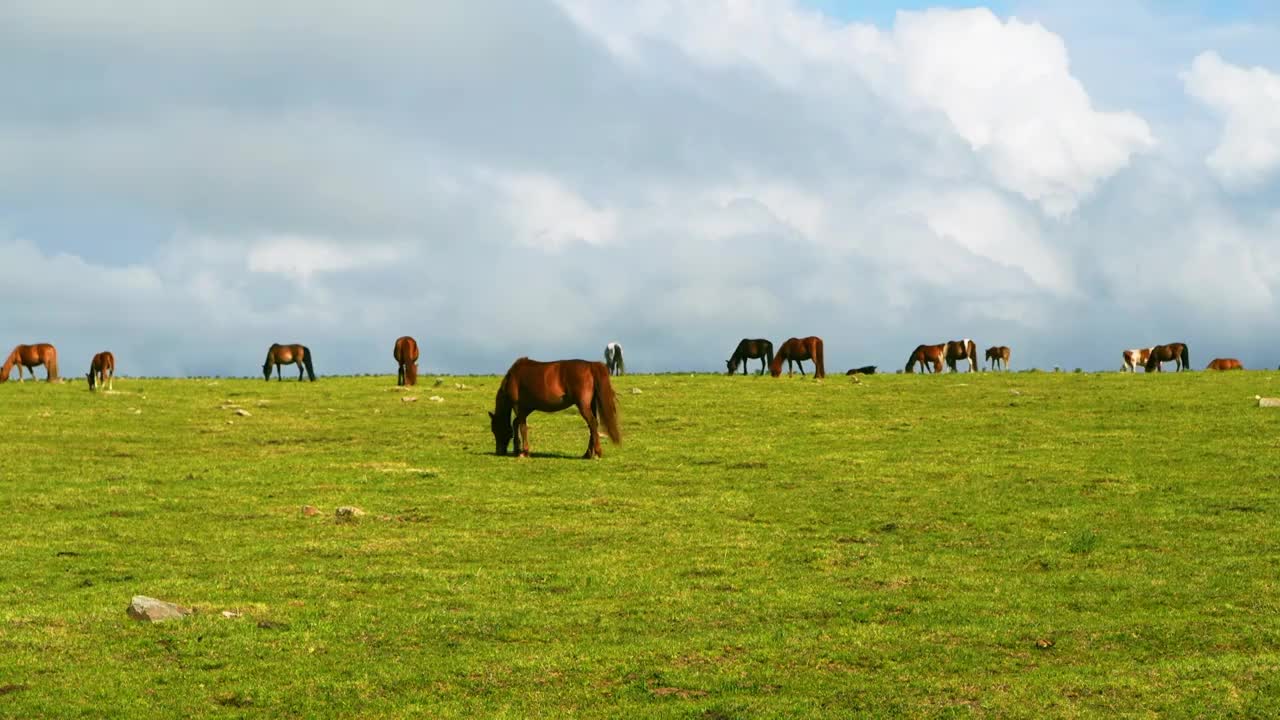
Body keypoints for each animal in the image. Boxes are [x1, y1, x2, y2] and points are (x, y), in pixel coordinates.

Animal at [488, 356, 619, 456]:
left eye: (495, 429)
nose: (499, 452)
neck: (513, 377)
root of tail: (590, 366)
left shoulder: (518, 405)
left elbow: (522, 427)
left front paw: (524, 452)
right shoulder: (528, 408)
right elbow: (516, 423)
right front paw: (517, 449)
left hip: (583, 405)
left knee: (592, 423)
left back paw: (596, 452)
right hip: (590, 404)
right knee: (593, 425)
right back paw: (588, 454)